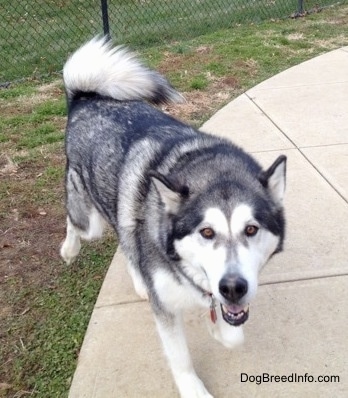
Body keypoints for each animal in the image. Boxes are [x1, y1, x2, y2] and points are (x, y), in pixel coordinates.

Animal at [60, 35, 286, 396]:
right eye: (206, 232)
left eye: (251, 229)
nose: (233, 287)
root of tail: (85, 99)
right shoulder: (165, 308)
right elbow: (180, 357)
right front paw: (193, 388)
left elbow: (232, 331)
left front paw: (219, 330)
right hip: (89, 220)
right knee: (77, 223)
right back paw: (69, 250)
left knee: (126, 240)